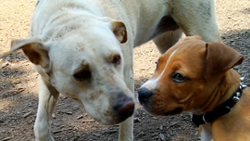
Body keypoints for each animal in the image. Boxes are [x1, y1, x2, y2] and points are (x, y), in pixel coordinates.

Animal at [10, 0, 221, 140]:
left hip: (203, 29)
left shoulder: (126, 79)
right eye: (81, 74)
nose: (128, 106)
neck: (68, 16)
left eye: (116, 58)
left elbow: (125, 131)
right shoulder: (46, 81)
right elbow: (41, 125)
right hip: (167, 42)